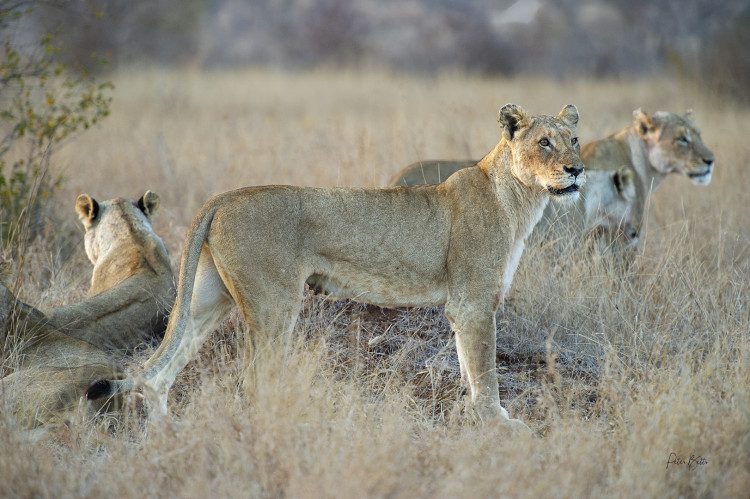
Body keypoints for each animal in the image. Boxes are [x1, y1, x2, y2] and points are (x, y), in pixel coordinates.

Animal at [88, 102, 588, 434]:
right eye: (544, 142)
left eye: (574, 140)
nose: (578, 170)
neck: (520, 201)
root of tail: (223, 197)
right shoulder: (474, 303)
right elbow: (484, 369)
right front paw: (497, 424)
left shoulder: (465, 308)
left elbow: (469, 367)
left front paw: (474, 418)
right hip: (275, 304)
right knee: (254, 380)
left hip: (206, 300)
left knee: (156, 370)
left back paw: (162, 436)